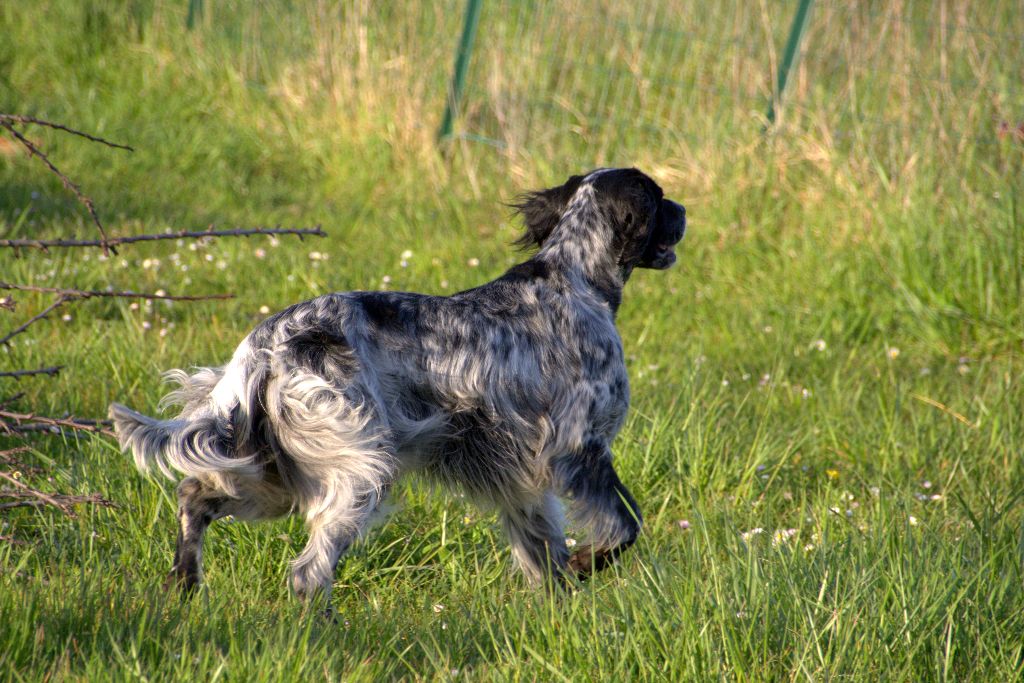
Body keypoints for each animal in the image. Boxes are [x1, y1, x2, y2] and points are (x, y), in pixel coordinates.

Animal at [110, 167, 688, 602]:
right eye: (659, 197)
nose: (684, 211)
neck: (573, 279)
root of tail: (265, 347)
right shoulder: (579, 447)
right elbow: (625, 526)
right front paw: (590, 565)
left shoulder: (522, 478)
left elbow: (545, 549)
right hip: (359, 468)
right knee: (308, 572)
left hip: (271, 471)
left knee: (193, 496)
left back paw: (184, 583)